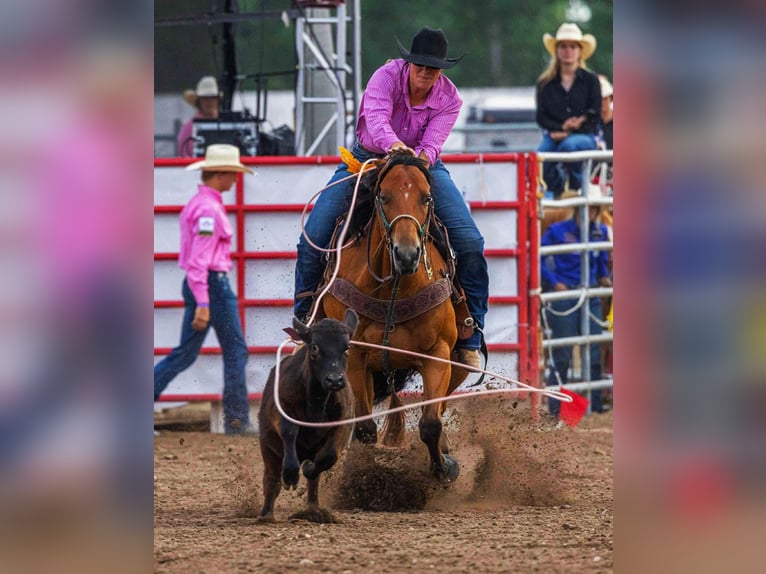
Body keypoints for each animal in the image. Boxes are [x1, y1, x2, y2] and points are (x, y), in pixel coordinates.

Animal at [320, 149, 463, 481]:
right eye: (383, 197)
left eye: (427, 198)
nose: (407, 255)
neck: (395, 288)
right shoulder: (355, 358)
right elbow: (365, 429)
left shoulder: (438, 353)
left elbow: (431, 423)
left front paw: (443, 468)